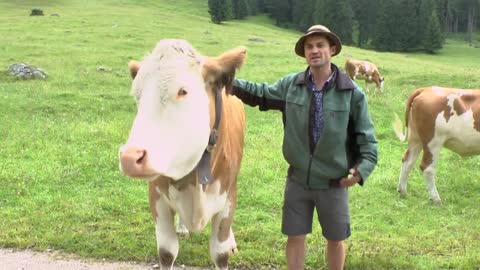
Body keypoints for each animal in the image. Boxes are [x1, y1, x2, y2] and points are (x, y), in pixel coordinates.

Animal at [118, 38, 248, 270]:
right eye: (137, 95)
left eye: (183, 91)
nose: (130, 158)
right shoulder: (157, 196)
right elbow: (167, 252)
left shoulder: (227, 194)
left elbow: (220, 252)